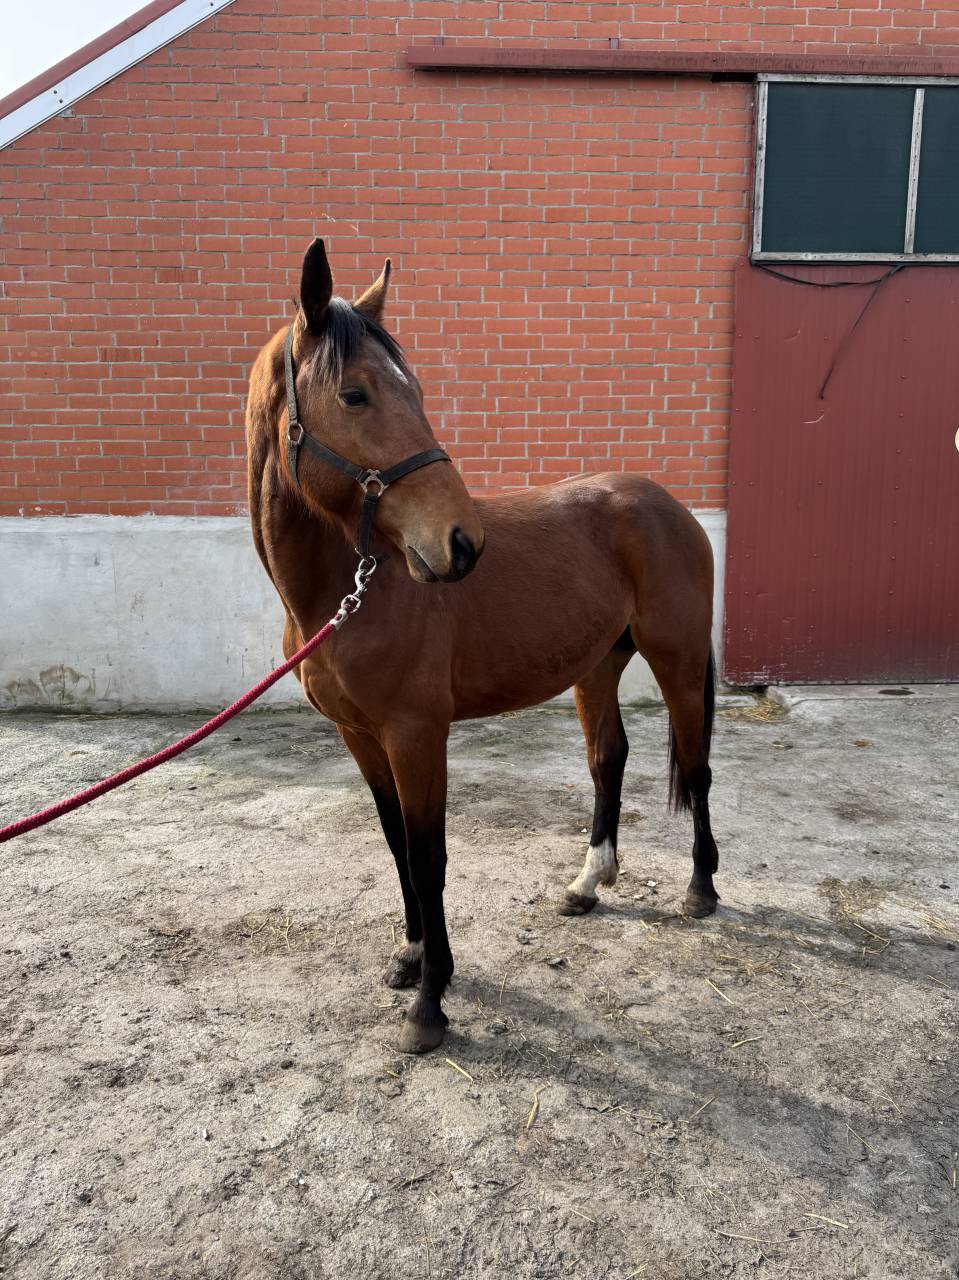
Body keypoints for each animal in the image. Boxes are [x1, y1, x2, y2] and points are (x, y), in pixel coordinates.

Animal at [246, 239, 719, 1054]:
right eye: (355, 396)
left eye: (415, 389)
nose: (461, 543)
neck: (350, 589)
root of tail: (668, 506)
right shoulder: (360, 735)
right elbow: (395, 845)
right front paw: (410, 959)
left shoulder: (416, 733)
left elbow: (429, 854)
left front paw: (430, 1001)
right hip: (597, 667)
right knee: (608, 759)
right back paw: (588, 883)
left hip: (679, 664)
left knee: (696, 767)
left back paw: (700, 888)